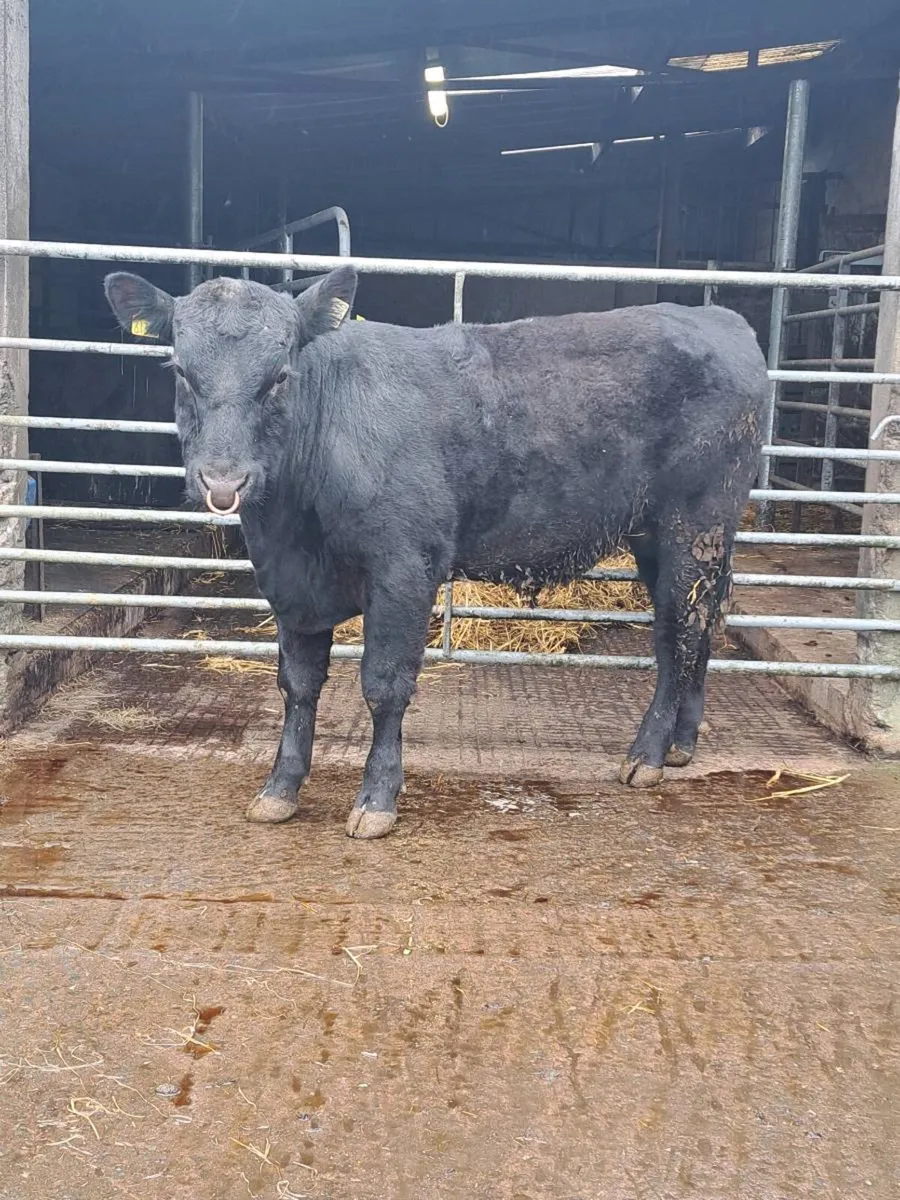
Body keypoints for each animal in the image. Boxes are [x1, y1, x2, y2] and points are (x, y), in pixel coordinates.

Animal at [105, 267, 768, 839]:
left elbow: (383, 684)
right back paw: (681, 744)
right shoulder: (291, 584)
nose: (223, 482)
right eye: (180, 371)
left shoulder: (404, 566)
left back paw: (648, 754)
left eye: (281, 375)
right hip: (663, 538)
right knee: (696, 625)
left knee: (680, 631)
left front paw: (377, 799)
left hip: (694, 524)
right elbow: (298, 685)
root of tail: (721, 319)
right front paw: (280, 789)